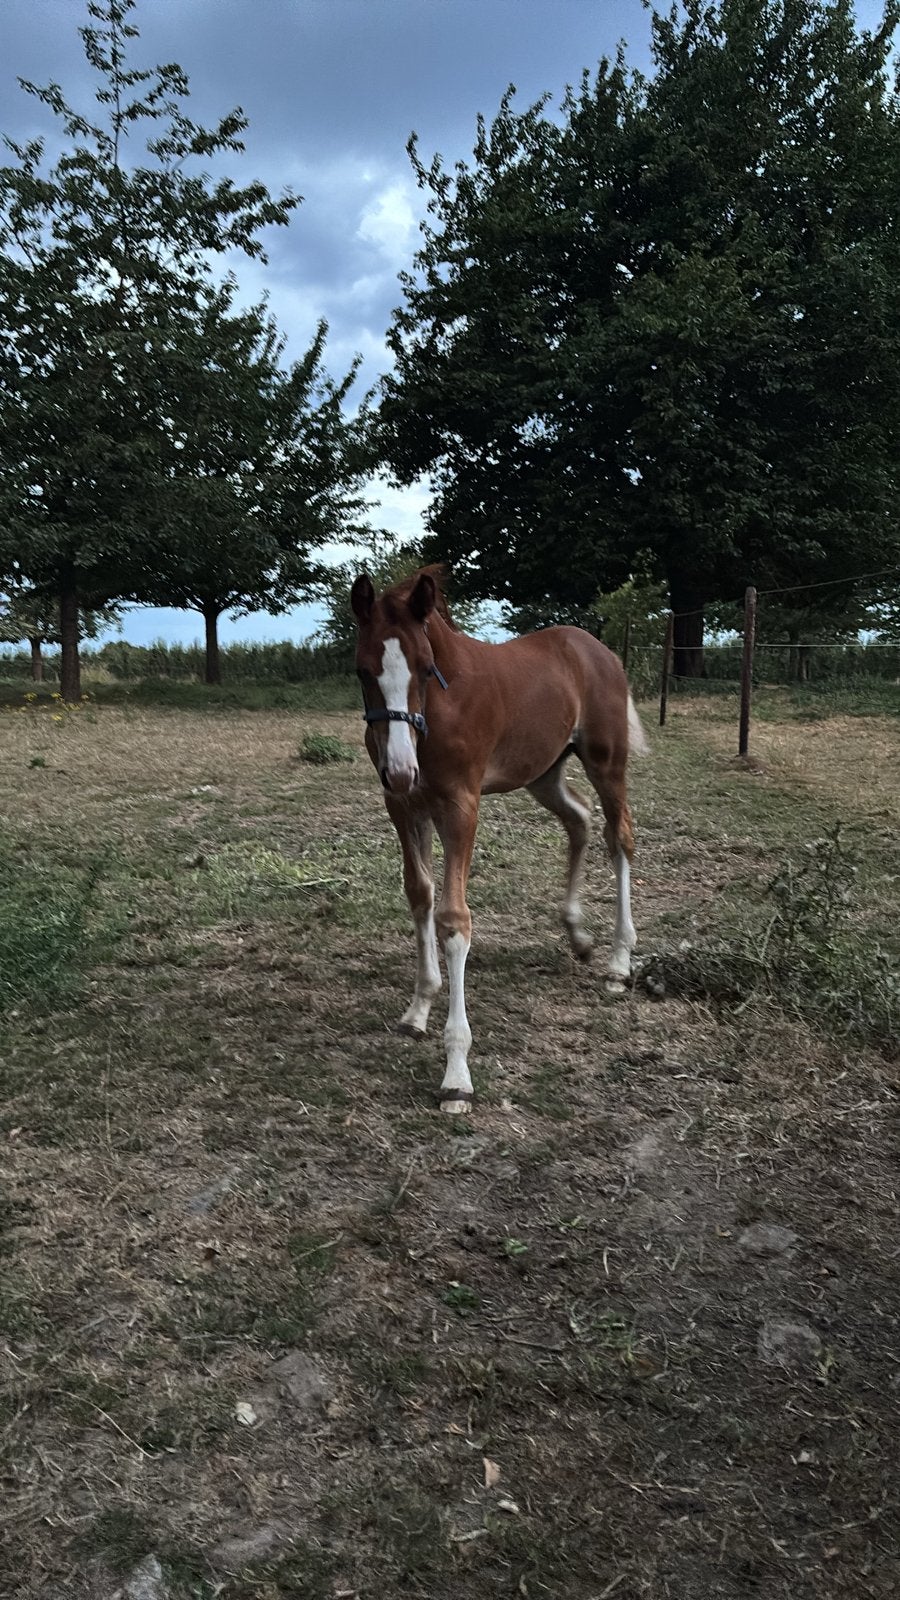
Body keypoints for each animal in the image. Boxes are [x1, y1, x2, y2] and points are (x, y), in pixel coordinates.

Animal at [350, 566, 648, 1114]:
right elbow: (419, 895)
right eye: (363, 671)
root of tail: (598, 649)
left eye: (425, 667)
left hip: (606, 761)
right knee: (579, 821)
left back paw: (619, 962)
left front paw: (456, 1074)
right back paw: (578, 934)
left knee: (619, 837)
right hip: (543, 772)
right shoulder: (405, 805)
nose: (399, 768)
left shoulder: (460, 807)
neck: (441, 706)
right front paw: (418, 1008)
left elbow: (453, 919)